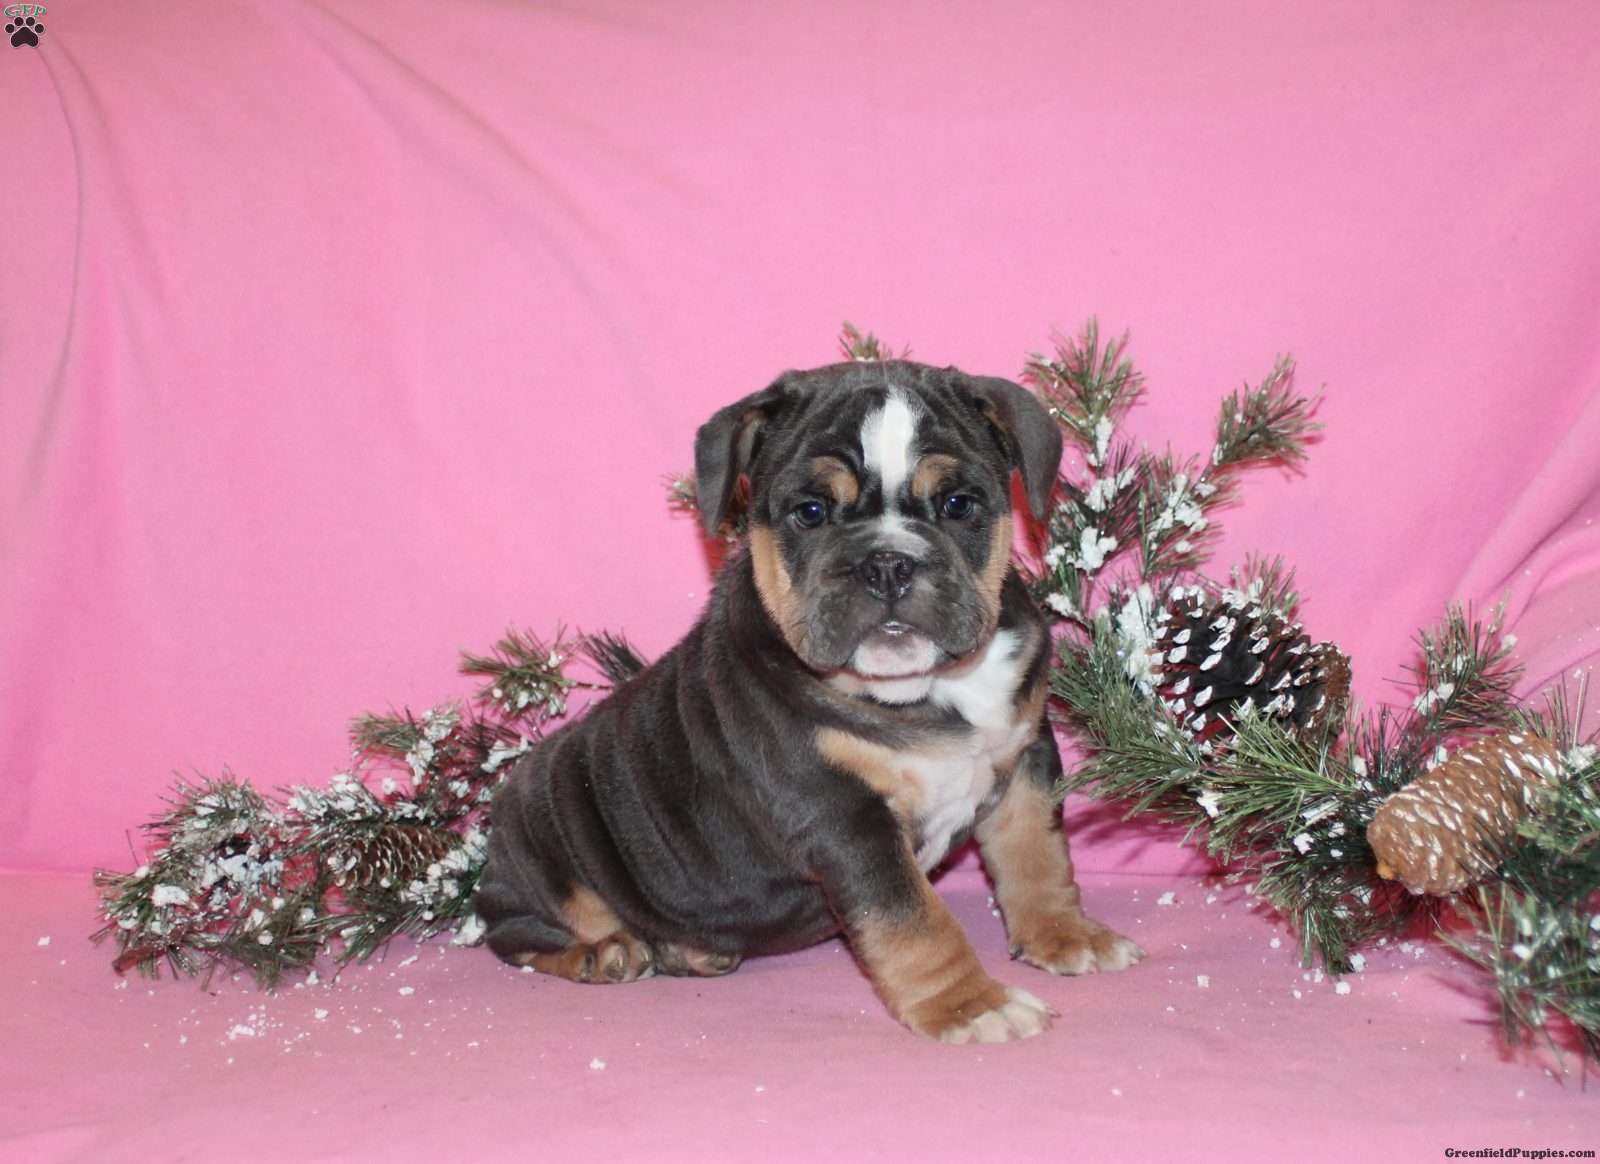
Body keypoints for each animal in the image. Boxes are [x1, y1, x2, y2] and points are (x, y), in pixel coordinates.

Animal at [474, 359, 1144, 1043]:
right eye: (811, 511)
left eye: (958, 504)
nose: (887, 563)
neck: (929, 687)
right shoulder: (846, 817)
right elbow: (914, 919)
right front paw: (971, 1004)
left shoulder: (1025, 757)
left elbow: (1037, 853)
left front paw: (1066, 934)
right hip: (540, 845)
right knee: (519, 930)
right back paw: (602, 952)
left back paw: (687, 950)